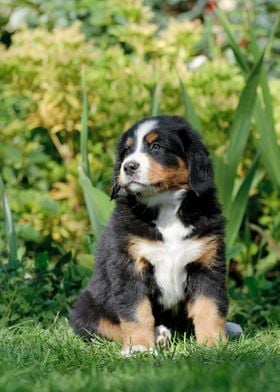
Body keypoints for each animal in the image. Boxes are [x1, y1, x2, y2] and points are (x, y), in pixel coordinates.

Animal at [70, 115, 230, 356]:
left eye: (156, 147)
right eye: (127, 151)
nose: (128, 166)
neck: (165, 206)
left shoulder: (206, 263)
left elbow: (209, 307)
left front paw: (214, 344)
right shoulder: (129, 265)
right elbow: (136, 312)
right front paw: (140, 347)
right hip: (86, 306)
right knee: (107, 327)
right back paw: (158, 336)